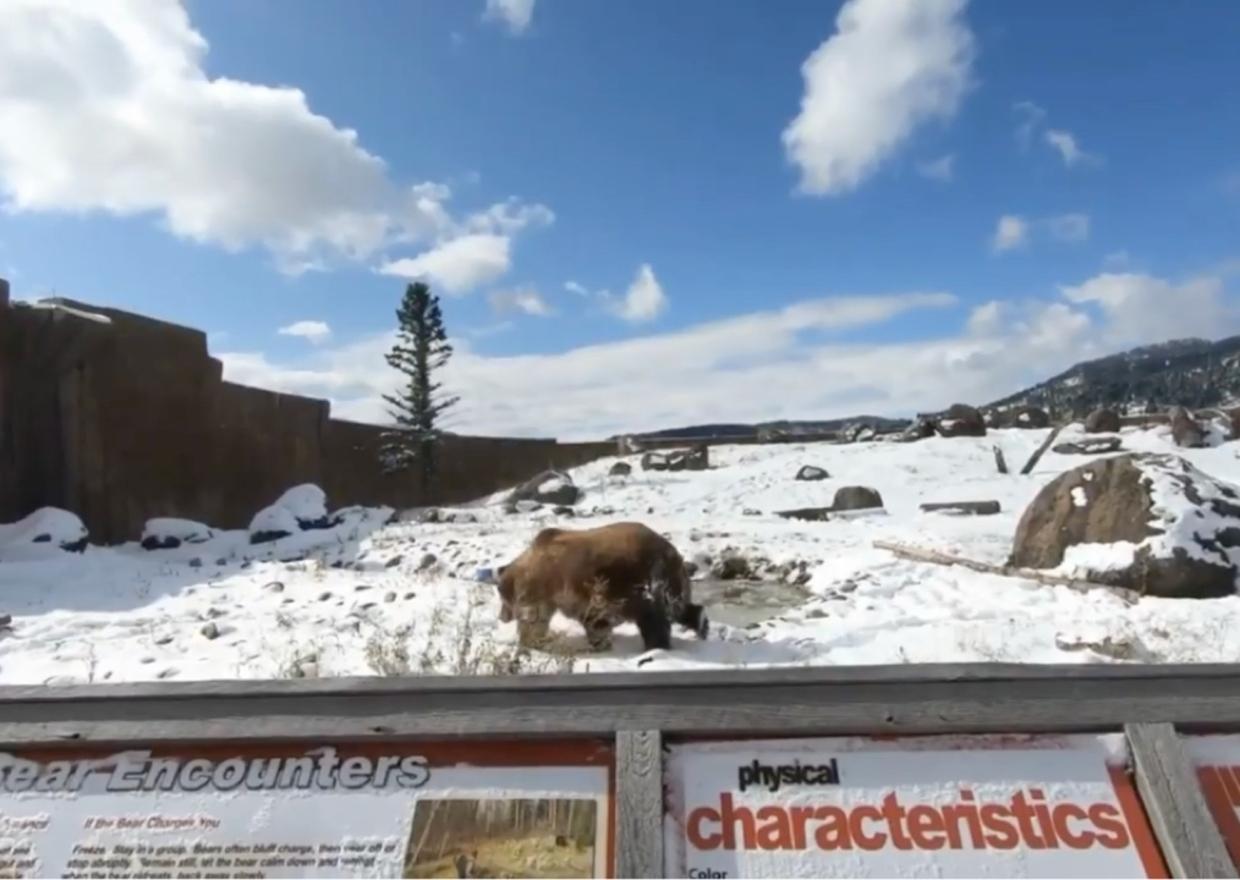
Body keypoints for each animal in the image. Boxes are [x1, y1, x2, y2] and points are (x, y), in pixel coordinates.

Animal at [495, 521, 708, 653]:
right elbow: (596, 620)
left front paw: (530, 642)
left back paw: (656, 646)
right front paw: (600, 642)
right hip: (669, 581)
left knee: (654, 619)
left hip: (644, 578)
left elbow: (534, 618)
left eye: (502, 600)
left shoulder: (546, 587)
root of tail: (672, 552)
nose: (501, 617)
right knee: (677, 607)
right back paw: (701, 624)